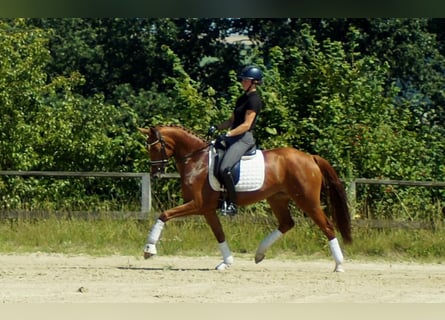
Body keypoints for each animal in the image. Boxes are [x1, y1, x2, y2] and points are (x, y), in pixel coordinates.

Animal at [138, 124, 350, 272]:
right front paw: (226, 263)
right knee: (286, 223)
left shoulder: (198, 204)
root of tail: (310, 157)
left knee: (327, 226)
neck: (197, 160)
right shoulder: (207, 209)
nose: (155, 174)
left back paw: (339, 266)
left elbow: (164, 215)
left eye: (154, 148)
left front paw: (149, 250)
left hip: (307, 201)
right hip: (277, 198)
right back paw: (259, 254)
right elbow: (219, 234)